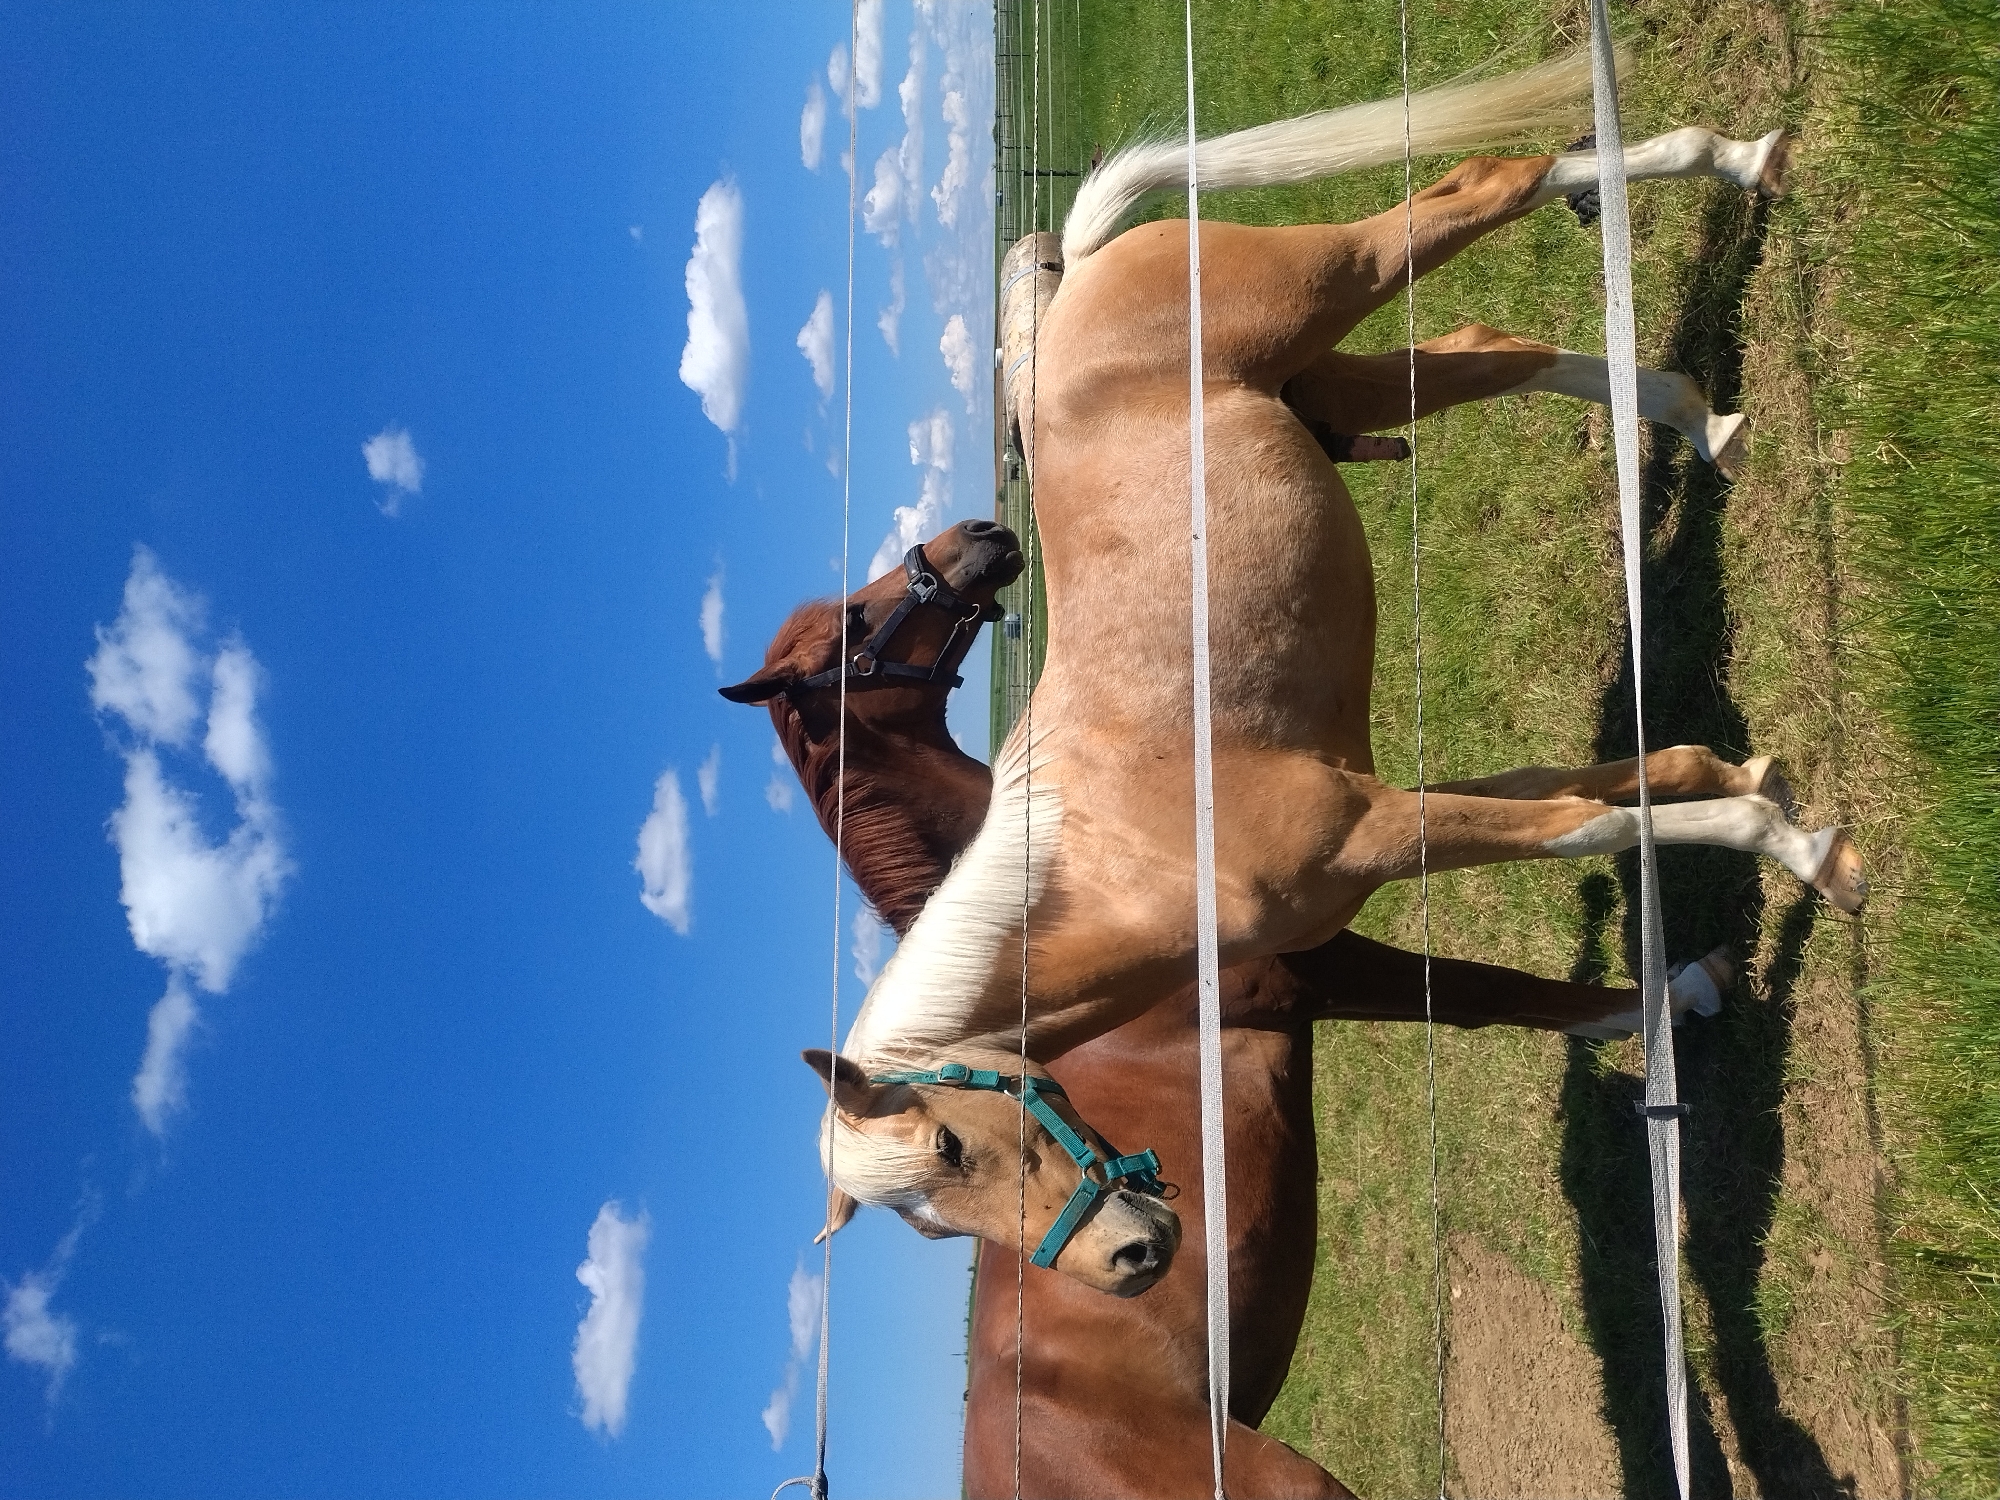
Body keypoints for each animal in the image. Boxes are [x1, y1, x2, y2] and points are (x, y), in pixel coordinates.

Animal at [726, 522, 1731, 1497]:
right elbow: (1494, 995)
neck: (1076, 893)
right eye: (854, 627)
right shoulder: (1318, 970)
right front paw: (1676, 996)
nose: (979, 538)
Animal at [801, 52, 1865, 1295]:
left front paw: (1807, 853)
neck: (1127, 857)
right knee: (1484, 348)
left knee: (1483, 186)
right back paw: (1707, 418)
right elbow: (1608, 787)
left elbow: (1587, 824)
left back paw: (1738, 164)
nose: (1130, 1258)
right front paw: (1744, 811)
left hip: (1333, 283)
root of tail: (1078, 283)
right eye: (930, 1220)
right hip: (1335, 381)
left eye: (951, 1144)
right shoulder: (1389, 797)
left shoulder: (1377, 830)